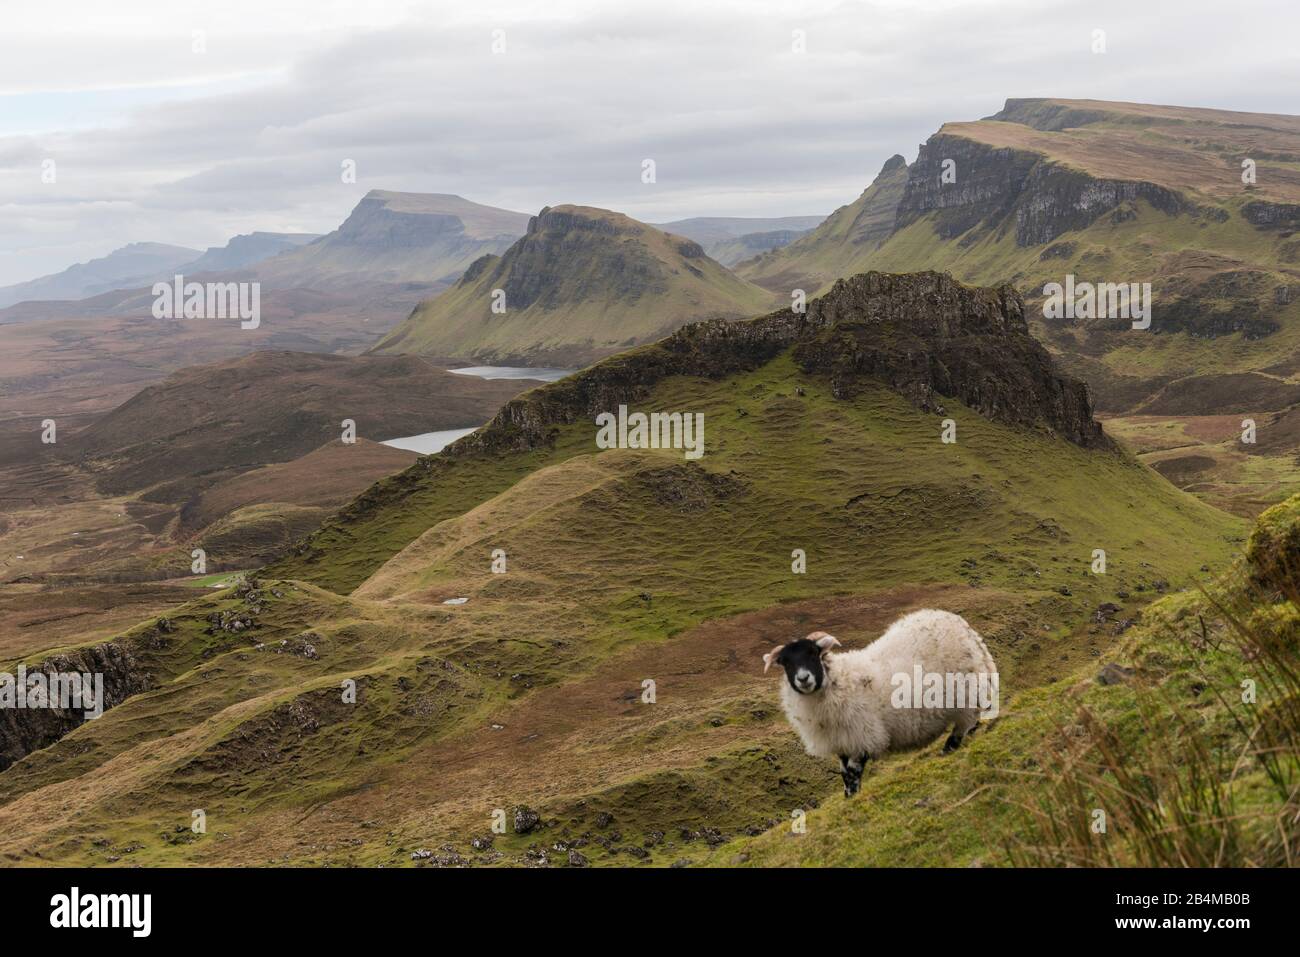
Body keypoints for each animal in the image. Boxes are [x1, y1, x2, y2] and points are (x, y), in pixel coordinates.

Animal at [759, 608, 993, 795]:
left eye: (813, 653)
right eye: (785, 662)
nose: (803, 678)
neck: (838, 681)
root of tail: (961, 625)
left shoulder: (862, 736)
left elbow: (852, 773)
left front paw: (853, 796)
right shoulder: (843, 740)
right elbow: (844, 774)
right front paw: (848, 796)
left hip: (966, 691)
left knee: (965, 723)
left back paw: (948, 749)